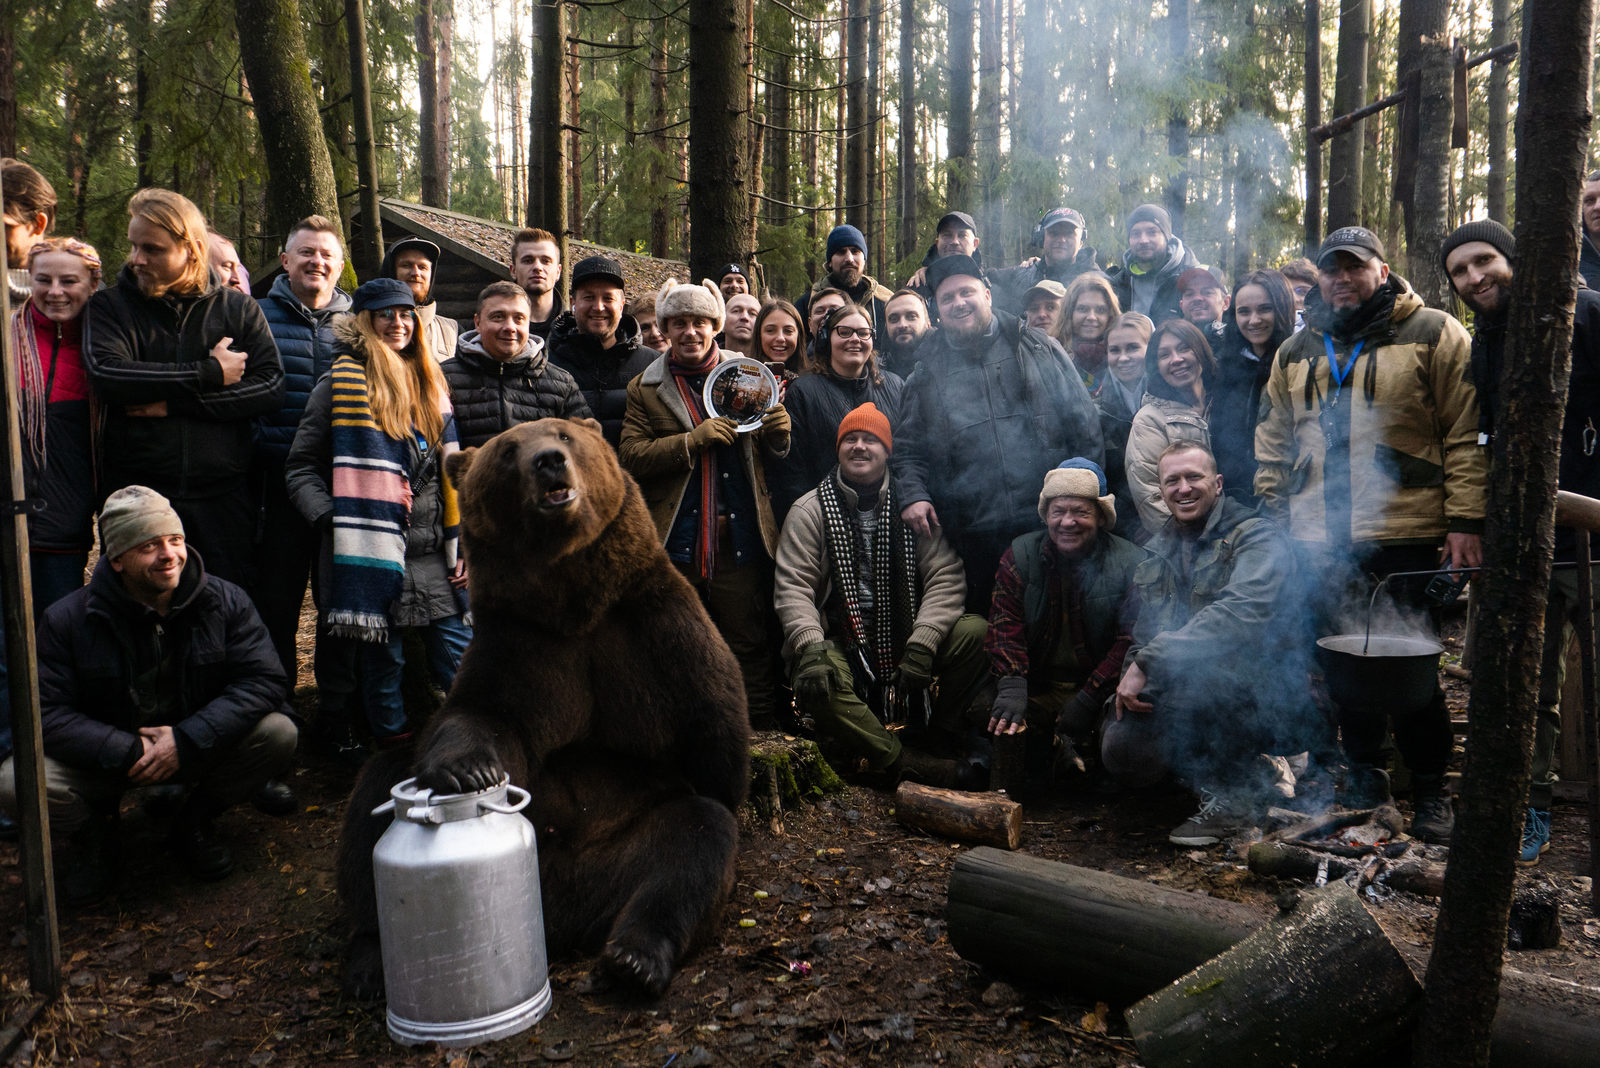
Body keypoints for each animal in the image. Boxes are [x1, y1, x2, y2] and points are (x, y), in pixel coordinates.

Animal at [337, 418, 748, 1004]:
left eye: (565, 435)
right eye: (508, 451)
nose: (549, 460)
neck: (573, 602)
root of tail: (559, 919)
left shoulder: (654, 630)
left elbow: (716, 752)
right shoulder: (520, 645)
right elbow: (484, 716)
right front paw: (470, 771)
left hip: (620, 859)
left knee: (694, 842)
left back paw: (634, 958)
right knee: (377, 790)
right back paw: (369, 960)